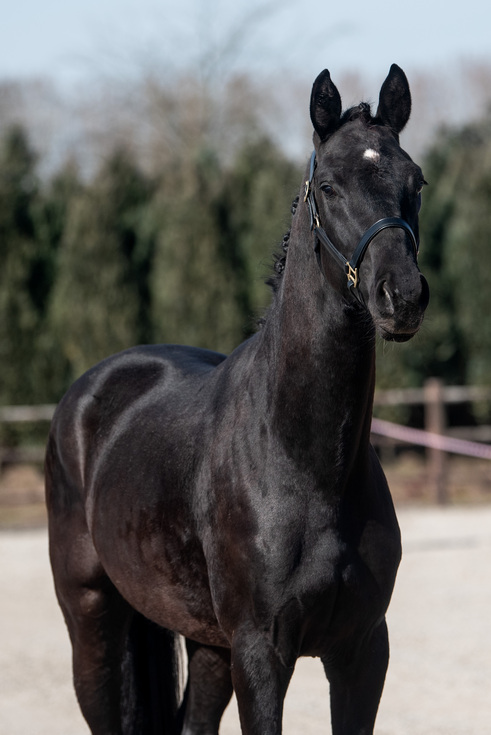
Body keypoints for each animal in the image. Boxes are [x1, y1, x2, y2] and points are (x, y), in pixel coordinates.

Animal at [46, 63, 429, 735]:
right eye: (328, 186)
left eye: (416, 181)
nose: (401, 296)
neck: (307, 467)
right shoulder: (260, 653)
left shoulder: (361, 651)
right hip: (92, 619)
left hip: (206, 643)